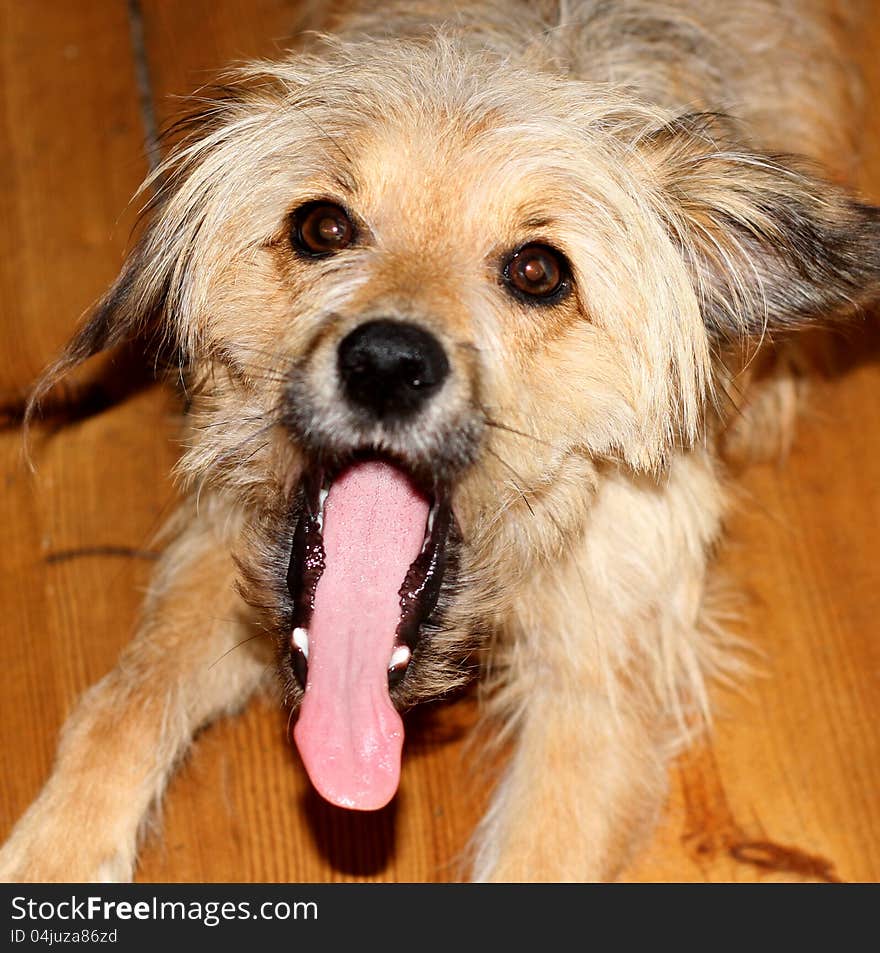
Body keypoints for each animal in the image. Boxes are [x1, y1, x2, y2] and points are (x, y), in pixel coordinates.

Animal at [1, 0, 880, 880]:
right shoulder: (224, 541)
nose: (387, 363)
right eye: (322, 226)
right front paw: (54, 852)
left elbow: (539, 854)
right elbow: (124, 698)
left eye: (539, 271)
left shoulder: (597, 673)